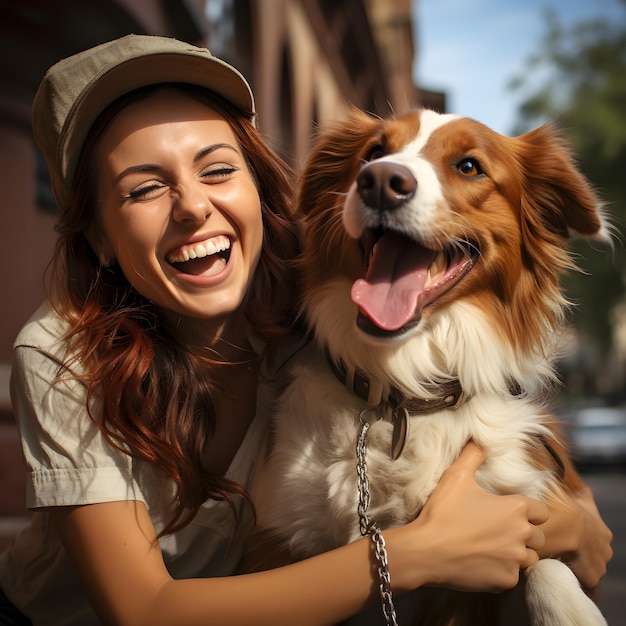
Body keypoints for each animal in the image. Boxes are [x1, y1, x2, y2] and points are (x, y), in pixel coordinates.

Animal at [246, 108, 608, 624]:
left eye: (469, 166)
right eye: (374, 153)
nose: (379, 181)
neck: (405, 392)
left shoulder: (525, 502)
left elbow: (546, 564)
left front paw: (570, 609)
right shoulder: (274, 538)